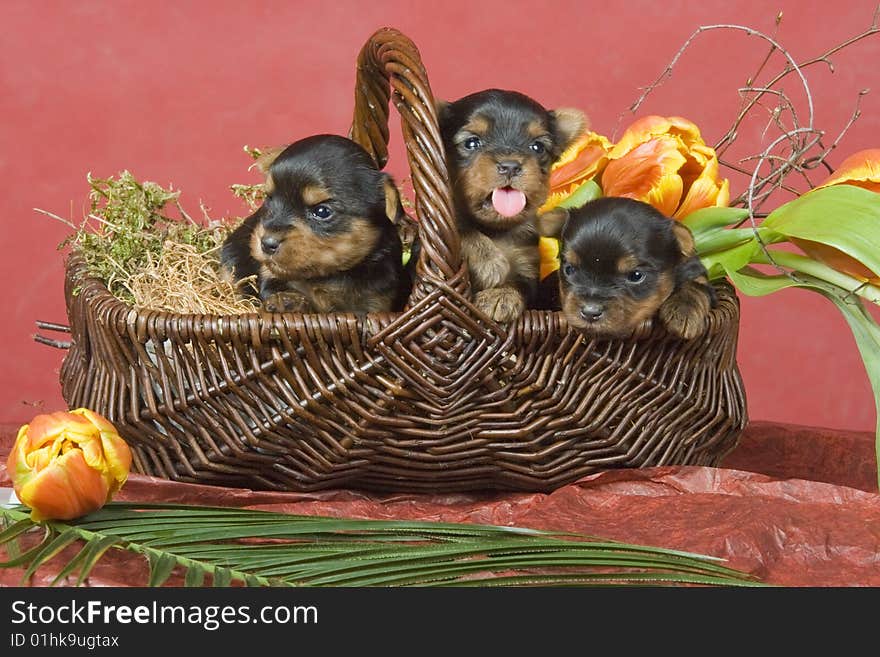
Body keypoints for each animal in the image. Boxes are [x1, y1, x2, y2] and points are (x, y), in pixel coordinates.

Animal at [222, 133, 410, 312]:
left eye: (322, 211)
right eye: (269, 198)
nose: (267, 243)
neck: (331, 275)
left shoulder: (377, 300)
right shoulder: (270, 274)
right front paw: (287, 301)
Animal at [438, 89, 588, 320]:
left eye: (537, 147)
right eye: (472, 143)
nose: (510, 166)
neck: (495, 230)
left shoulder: (527, 265)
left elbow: (520, 285)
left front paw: (500, 296)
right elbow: (461, 229)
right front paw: (490, 262)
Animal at [536, 195, 716, 338]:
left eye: (636, 276)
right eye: (569, 269)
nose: (590, 312)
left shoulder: (694, 271)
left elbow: (695, 286)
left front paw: (684, 312)